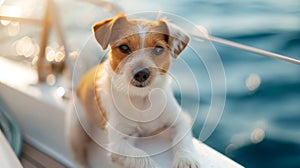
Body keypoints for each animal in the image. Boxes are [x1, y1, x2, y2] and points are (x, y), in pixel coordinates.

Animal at [67, 13, 200, 168]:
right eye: (124, 47)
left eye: (158, 49)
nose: (141, 73)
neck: (142, 99)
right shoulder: (119, 142)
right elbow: (141, 156)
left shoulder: (180, 120)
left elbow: (182, 140)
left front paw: (186, 160)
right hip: (76, 125)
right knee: (78, 153)